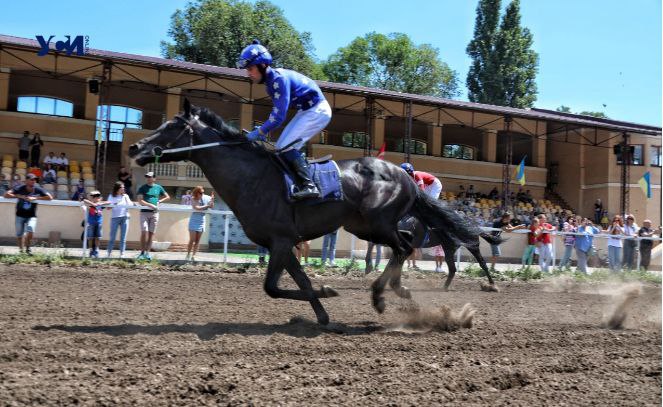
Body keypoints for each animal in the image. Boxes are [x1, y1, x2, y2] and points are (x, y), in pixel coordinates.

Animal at [128, 100, 504, 326]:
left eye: (171, 126)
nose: (134, 147)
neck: (252, 177)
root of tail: (406, 177)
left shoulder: (280, 240)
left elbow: (272, 287)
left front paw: (329, 293)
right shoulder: (281, 243)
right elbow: (298, 283)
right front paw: (322, 311)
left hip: (379, 222)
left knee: (405, 247)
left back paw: (383, 295)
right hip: (366, 226)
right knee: (407, 242)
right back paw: (400, 291)